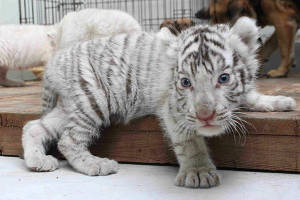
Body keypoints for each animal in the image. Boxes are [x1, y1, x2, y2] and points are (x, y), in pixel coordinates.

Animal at [22, 16, 294, 188]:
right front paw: (198, 172)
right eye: (185, 82)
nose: (205, 116)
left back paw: (38, 162)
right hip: (93, 99)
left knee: (33, 127)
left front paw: (280, 102)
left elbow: (251, 95)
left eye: (224, 78)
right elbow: (190, 141)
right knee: (68, 141)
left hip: (72, 105)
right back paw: (97, 164)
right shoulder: (172, 108)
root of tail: (53, 64)